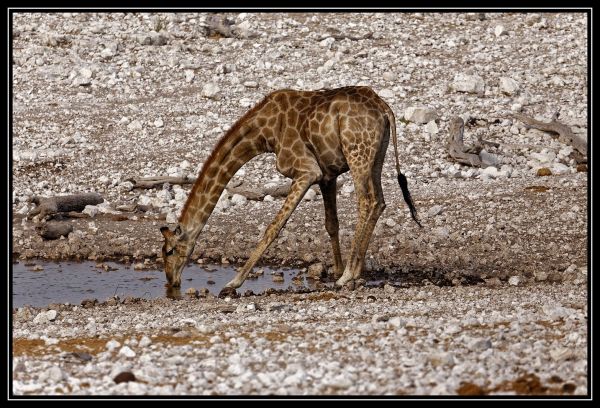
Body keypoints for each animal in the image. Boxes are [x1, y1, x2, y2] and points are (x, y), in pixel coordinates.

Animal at [161, 87, 422, 296]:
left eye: (169, 251)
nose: (171, 282)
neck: (264, 133)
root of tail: (385, 108)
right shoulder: (327, 175)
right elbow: (331, 224)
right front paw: (335, 270)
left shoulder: (307, 172)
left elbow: (273, 227)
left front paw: (233, 283)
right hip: (376, 155)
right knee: (379, 201)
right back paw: (351, 273)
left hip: (357, 153)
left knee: (368, 201)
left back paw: (349, 274)